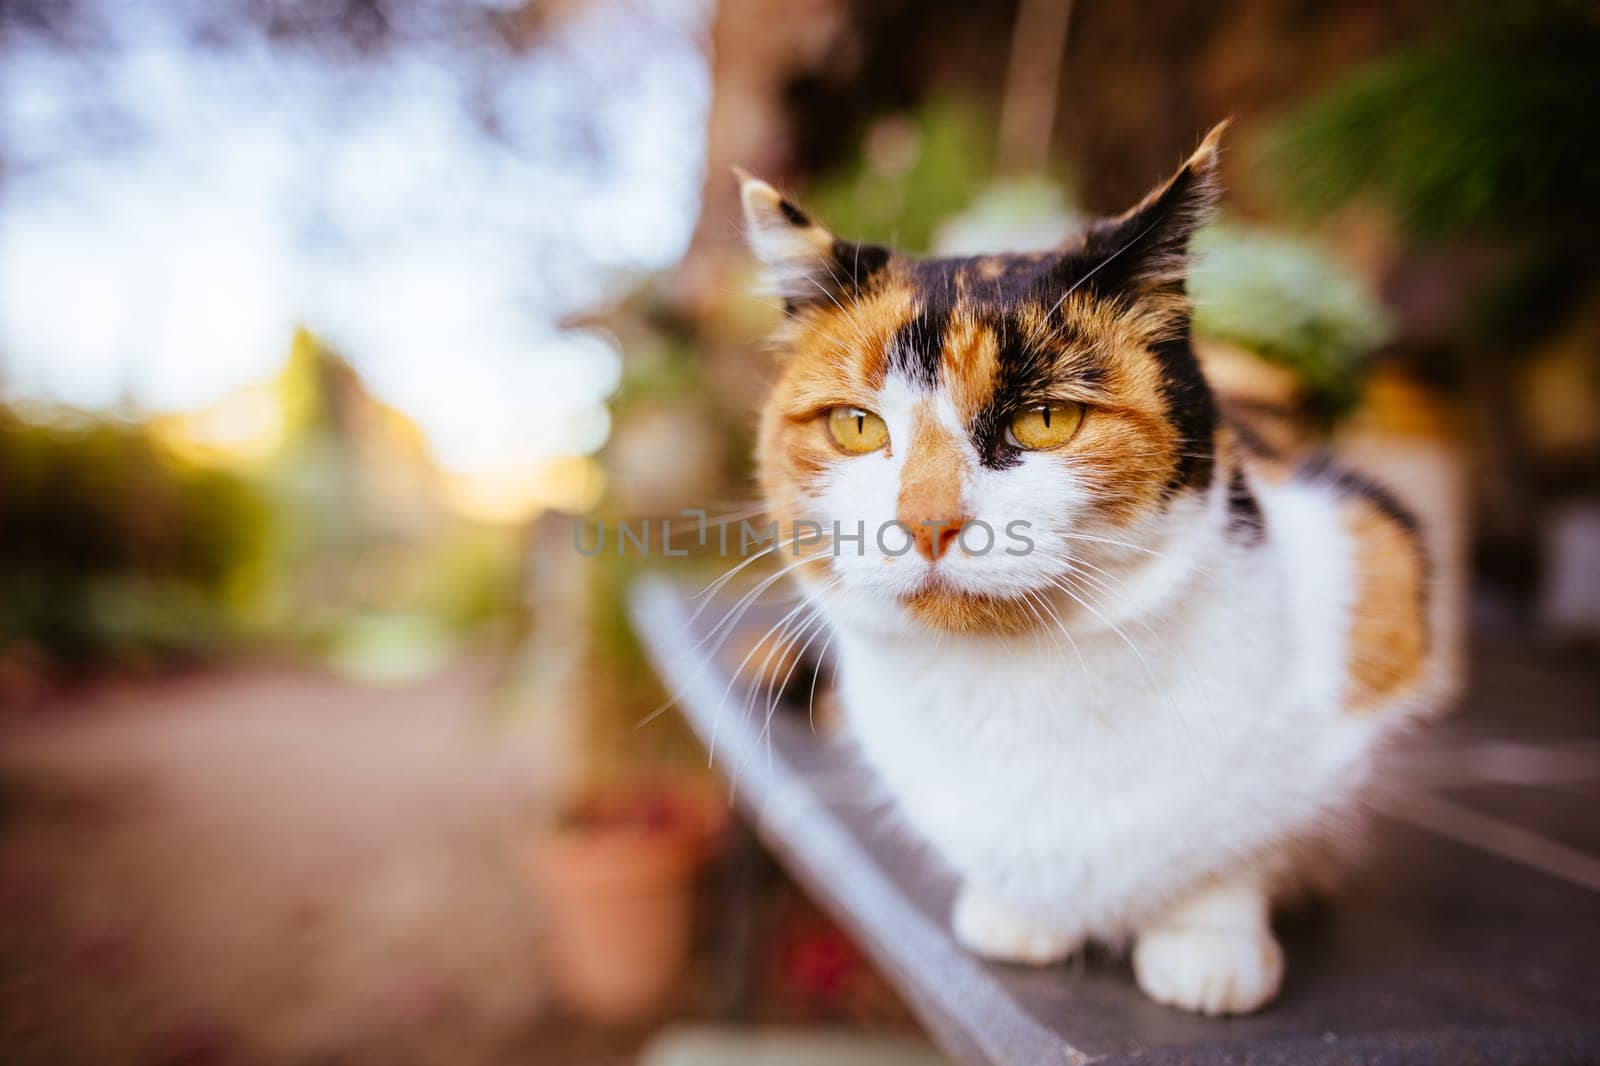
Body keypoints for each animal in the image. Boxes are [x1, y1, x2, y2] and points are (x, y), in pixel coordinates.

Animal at [736, 120, 1465, 1011]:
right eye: (854, 426)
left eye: (1047, 419)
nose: (928, 522)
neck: (1015, 682)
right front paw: (1015, 917)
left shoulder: (1370, 562)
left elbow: (1238, 850)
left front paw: (1208, 948)